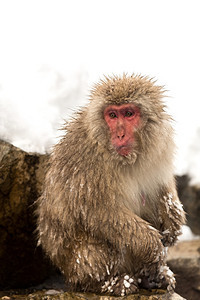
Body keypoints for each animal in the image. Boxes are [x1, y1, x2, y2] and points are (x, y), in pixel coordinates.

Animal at [36, 74, 186, 296]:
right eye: (113, 115)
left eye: (129, 113)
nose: (120, 135)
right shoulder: (87, 161)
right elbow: (98, 211)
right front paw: (152, 245)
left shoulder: (161, 145)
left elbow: (160, 185)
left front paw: (173, 218)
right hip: (75, 263)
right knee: (97, 247)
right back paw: (108, 283)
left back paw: (152, 277)